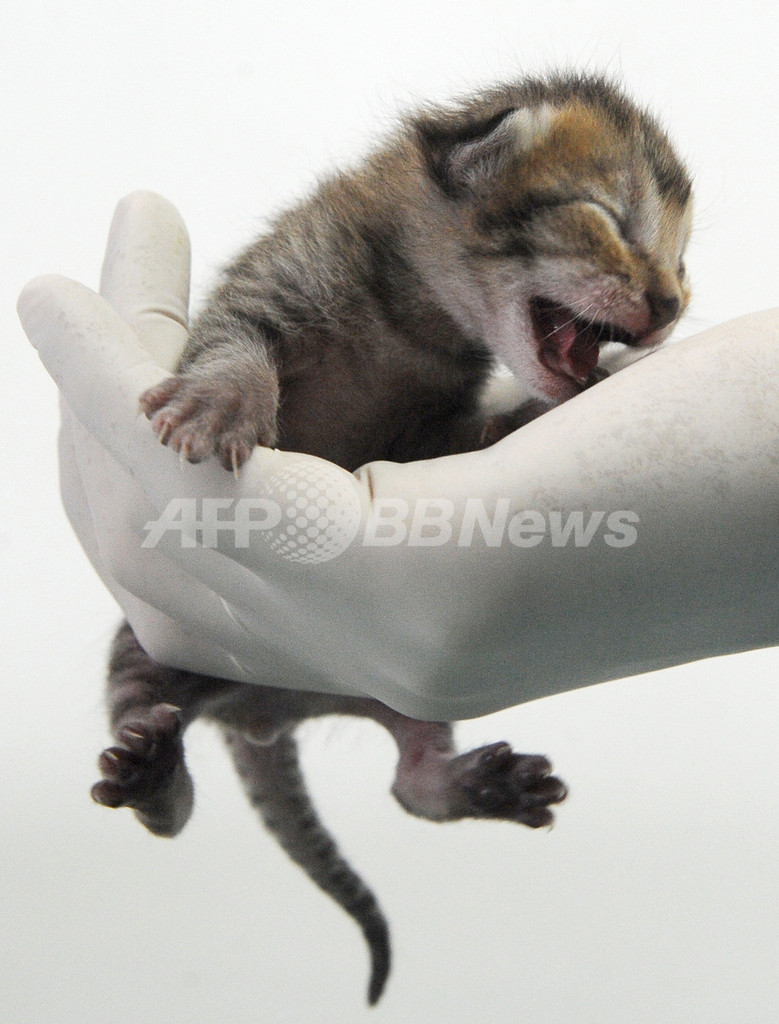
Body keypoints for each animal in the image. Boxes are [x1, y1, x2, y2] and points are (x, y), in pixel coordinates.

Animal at [91, 75, 691, 1003]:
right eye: (607, 218)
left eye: (681, 260)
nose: (670, 306)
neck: (415, 312)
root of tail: (266, 713)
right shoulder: (285, 268)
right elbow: (235, 339)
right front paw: (221, 402)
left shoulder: (428, 429)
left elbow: (456, 441)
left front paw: (524, 415)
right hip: (150, 640)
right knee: (166, 795)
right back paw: (154, 777)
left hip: (408, 685)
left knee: (408, 785)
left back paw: (465, 782)